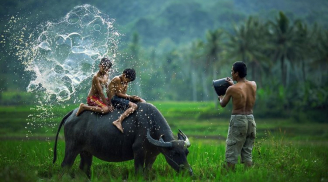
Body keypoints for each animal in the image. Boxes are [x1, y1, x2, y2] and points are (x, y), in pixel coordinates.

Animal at [53, 102, 192, 178]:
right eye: (174, 153)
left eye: (186, 153)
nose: (189, 172)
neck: (151, 125)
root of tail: (72, 113)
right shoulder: (138, 151)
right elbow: (139, 171)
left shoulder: (152, 155)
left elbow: (147, 171)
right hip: (72, 147)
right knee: (65, 165)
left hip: (86, 151)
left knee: (84, 167)